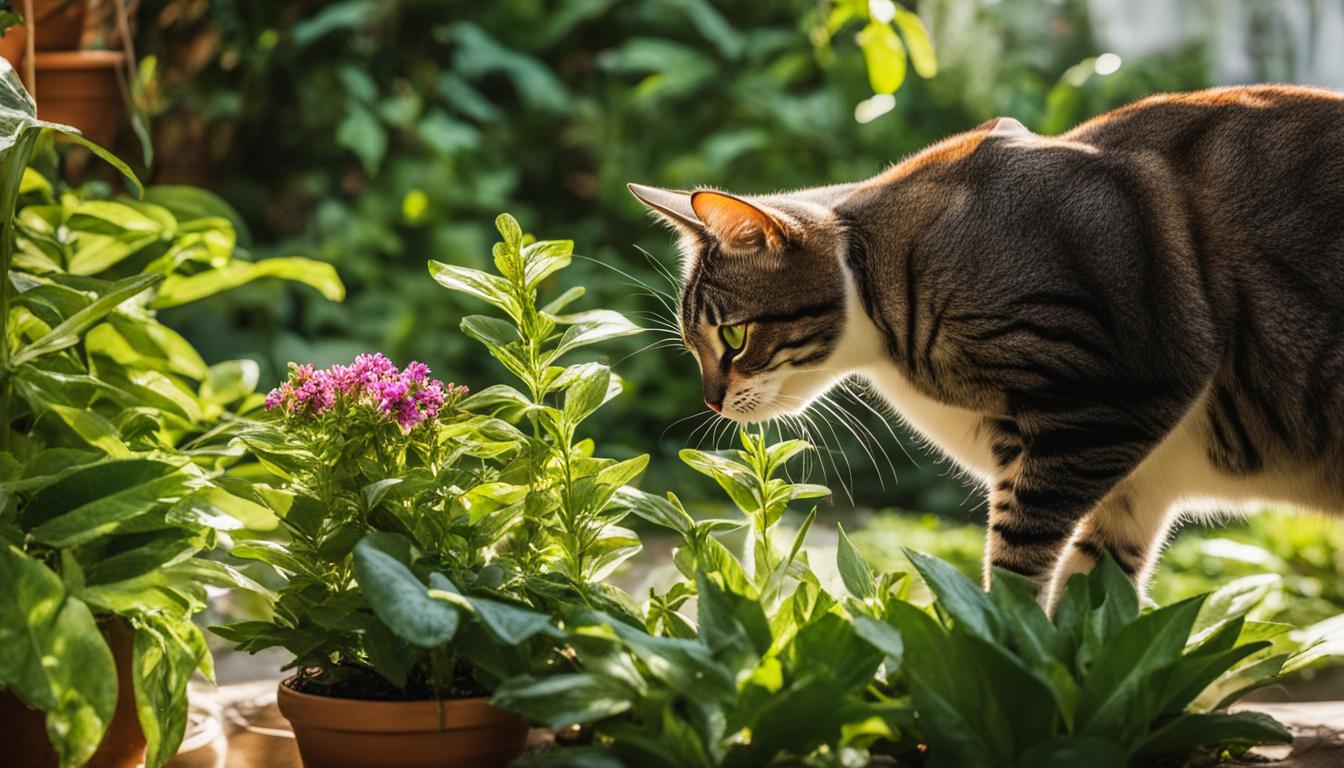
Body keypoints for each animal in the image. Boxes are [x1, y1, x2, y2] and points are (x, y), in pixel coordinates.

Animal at [628, 82, 1344, 599]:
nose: (711, 401)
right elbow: (1097, 606)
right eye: (693, 345)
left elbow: (1018, 568)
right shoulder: (1120, 482)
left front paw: (1007, 654)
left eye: (733, 336)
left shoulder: (1124, 397)